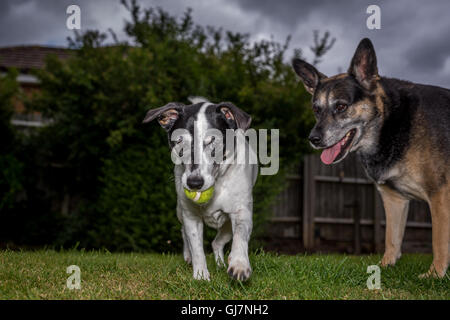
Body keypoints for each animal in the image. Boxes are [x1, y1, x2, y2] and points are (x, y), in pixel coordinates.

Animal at [144, 97, 256, 280]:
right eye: (179, 141)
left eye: (213, 141)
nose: (194, 183)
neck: (217, 183)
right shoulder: (191, 215)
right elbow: (196, 246)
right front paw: (201, 275)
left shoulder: (241, 211)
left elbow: (240, 236)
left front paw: (239, 264)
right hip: (180, 210)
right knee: (184, 232)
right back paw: (188, 256)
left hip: (226, 227)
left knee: (217, 242)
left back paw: (222, 263)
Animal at [294, 37, 448, 278]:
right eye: (316, 110)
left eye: (341, 106)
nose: (313, 139)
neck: (389, 125)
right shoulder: (394, 200)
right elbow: (392, 239)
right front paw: (385, 267)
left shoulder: (439, 194)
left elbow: (438, 240)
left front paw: (435, 275)